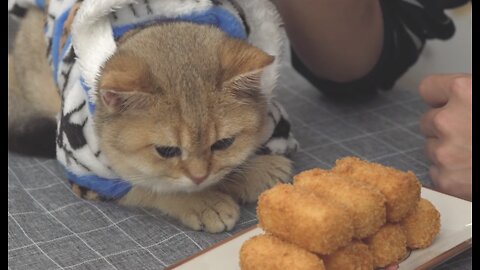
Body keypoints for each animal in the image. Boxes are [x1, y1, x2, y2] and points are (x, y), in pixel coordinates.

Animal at [8, 0, 296, 232]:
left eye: (224, 143)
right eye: (166, 151)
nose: (199, 177)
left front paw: (255, 170)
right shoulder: (90, 178)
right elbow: (151, 186)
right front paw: (203, 202)